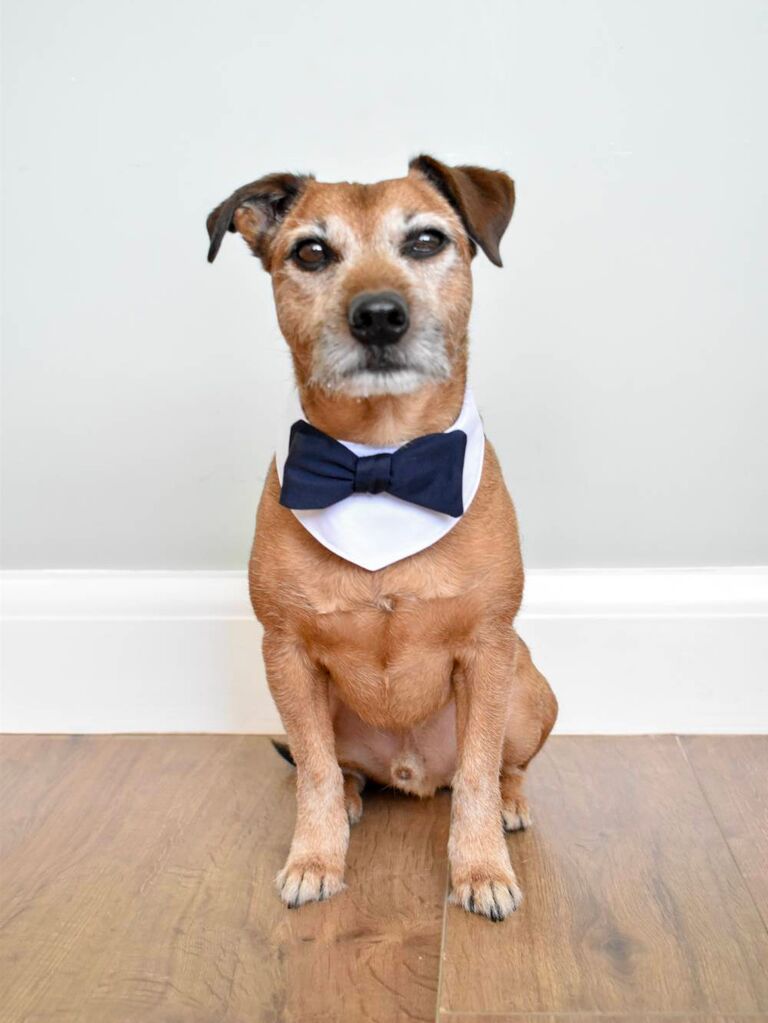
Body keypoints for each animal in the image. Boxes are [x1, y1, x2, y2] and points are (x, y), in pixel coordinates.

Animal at [205, 155, 560, 924]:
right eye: (311, 252)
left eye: (426, 241)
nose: (377, 316)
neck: (381, 458)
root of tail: (412, 772)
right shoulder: (287, 655)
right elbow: (310, 771)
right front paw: (315, 858)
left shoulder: (488, 650)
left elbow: (479, 773)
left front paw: (482, 868)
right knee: (335, 768)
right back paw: (349, 796)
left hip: (528, 691)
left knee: (500, 766)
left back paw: (512, 803)